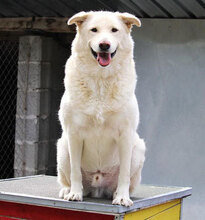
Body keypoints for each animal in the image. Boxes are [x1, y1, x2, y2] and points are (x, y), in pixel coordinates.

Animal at [56, 10, 145, 206]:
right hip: (63, 147)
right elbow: (75, 172)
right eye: (94, 30)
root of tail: (97, 185)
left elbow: (124, 174)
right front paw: (75, 194)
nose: (104, 45)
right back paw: (67, 190)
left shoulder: (125, 134)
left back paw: (117, 193)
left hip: (138, 149)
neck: (101, 79)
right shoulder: (74, 134)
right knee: (67, 177)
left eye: (114, 30)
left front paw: (122, 197)